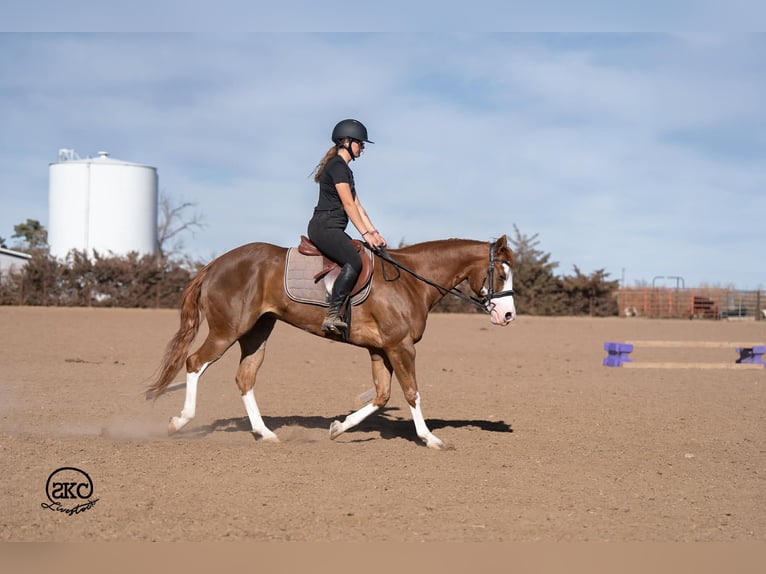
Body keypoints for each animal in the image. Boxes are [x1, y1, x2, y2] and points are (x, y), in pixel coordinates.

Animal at [146, 235, 516, 449]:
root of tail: (214, 264)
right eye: (502, 273)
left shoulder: (380, 349)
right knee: (194, 363)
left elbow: (381, 396)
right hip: (228, 330)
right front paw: (430, 439)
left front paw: (338, 428)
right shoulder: (400, 347)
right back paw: (179, 422)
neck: (410, 280)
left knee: (244, 378)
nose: (508, 315)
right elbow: (412, 393)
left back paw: (265, 434)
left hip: (257, 332)